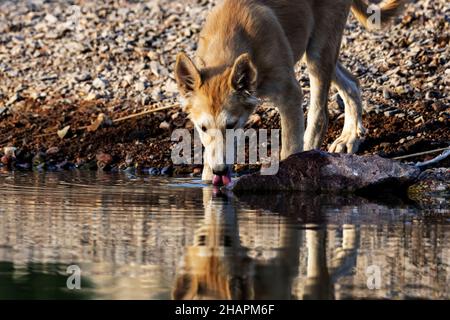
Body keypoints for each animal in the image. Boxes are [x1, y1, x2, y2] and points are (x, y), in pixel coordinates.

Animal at [174, 0, 406, 185]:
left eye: (230, 125)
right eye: (202, 128)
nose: (220, 170)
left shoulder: (290, 95)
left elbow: (290, 147)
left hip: (318, 52)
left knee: (320, 115)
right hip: (317, 51)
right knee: (352, 83)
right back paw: (349, 137)